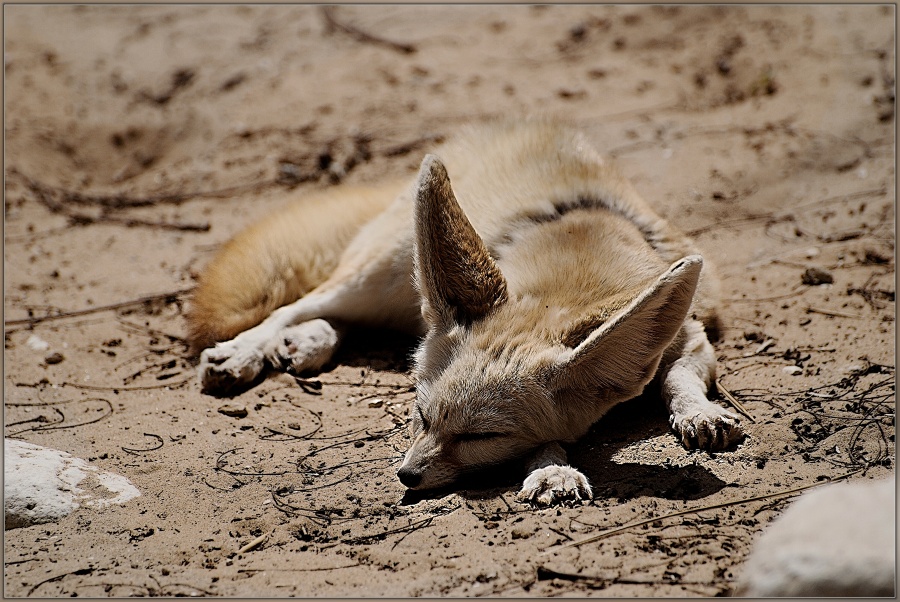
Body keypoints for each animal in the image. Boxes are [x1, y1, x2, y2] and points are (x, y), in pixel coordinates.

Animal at [190, 119, 744, 504]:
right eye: (420, 415)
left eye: (481, 436)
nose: (406, 474)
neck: (579, 261)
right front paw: (552, 466)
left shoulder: (691, 333)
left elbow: (678, 379)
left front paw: (699, 413)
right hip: (379, 274)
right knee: (293, 306)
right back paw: (246, 351)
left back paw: (310, 341)